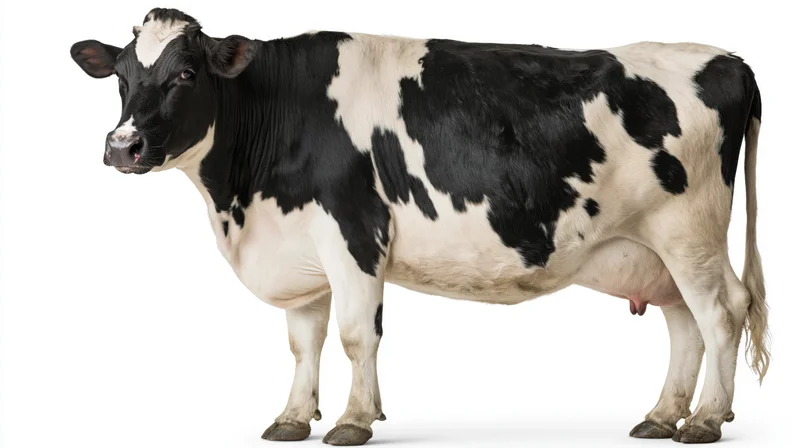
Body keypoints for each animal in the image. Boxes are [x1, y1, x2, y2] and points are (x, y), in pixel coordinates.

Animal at [70, 7, 769, 446]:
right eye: (122, 77)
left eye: (186, 73)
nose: (122, 146)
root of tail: (728, 58)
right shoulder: (299, 248)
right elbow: (303, 343)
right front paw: (293, 418)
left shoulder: (354, 233)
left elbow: (357, 336)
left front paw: (354, 421)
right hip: (654, 248)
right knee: (684, 324)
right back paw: (663, 417)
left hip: (690, 231)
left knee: (722, 311)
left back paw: (706, 421)